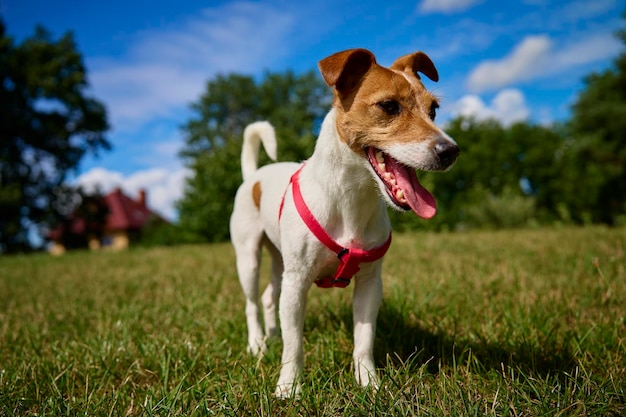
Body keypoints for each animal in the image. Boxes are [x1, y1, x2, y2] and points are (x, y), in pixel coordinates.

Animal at [229, 48, 458, 396]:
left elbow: (363, 339)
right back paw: (258, 343)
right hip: (249, 257)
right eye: (389, 106)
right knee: (252, 302)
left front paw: (369, 383)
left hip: (279, 259)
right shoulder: (297, 282)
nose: (451, 151)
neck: (351, 200)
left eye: (433, 110)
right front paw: (289, 387)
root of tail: (253, 176)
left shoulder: (370, 283)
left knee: (270, 298)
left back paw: (273, 334)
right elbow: (295, 345)